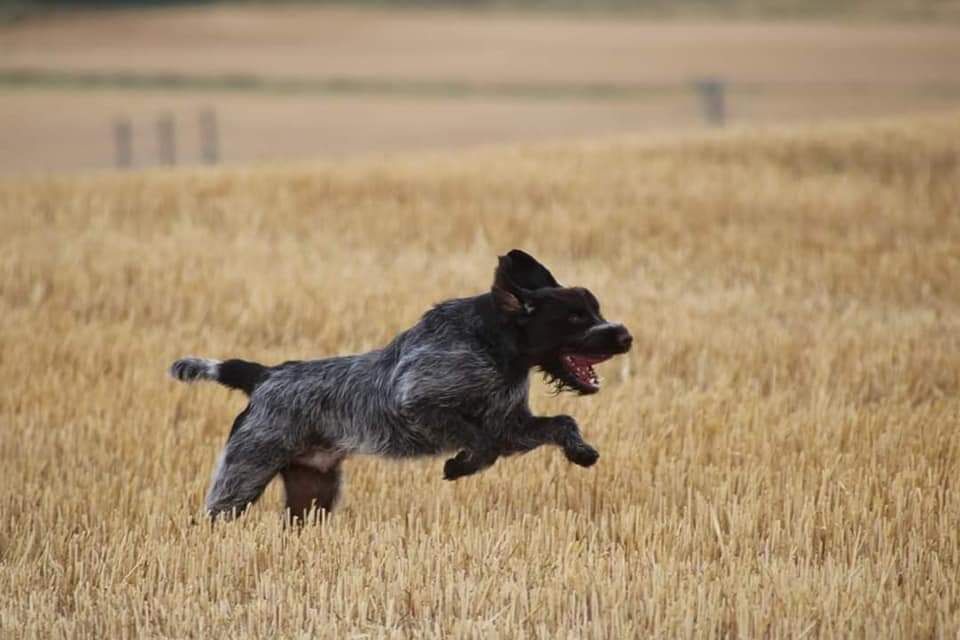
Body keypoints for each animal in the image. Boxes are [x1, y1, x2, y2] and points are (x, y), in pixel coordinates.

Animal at [171, 250, 636, 520]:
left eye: (595, 310)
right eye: (574, 316)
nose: (625, 335)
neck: (495, 349)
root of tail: (263, 375)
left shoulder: (511, 424)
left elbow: (561, 422)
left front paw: (581, 451)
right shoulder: (417, 404)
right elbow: (480, 441)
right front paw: (459, 465)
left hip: (313, 491)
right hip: (243, 475)